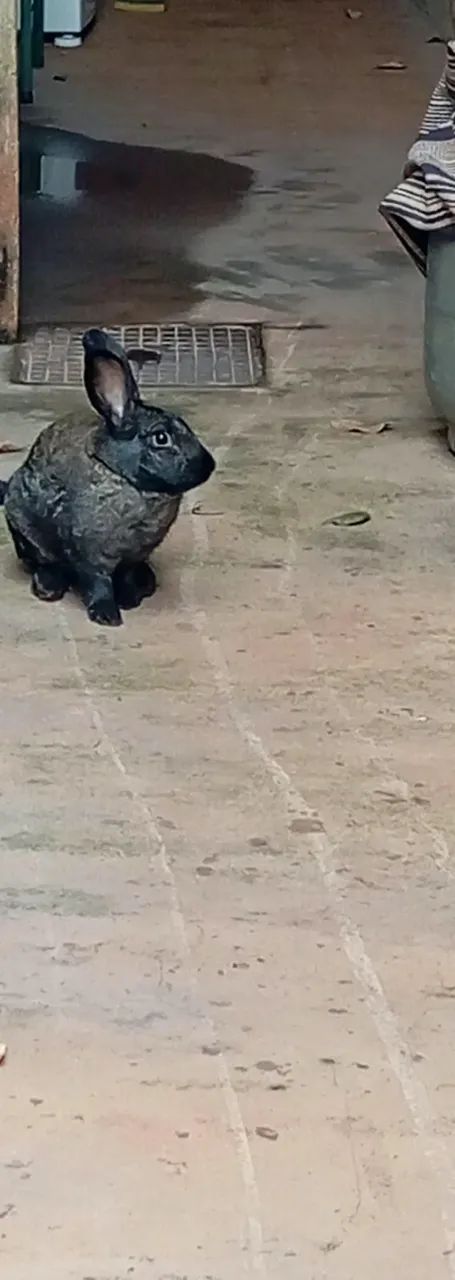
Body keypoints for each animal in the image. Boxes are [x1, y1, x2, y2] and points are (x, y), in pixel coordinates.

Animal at [0, 328, 215, 627]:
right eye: (161, 438)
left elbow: (125, 575)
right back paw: (48, 586)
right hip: (24, 526)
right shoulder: (89, 553)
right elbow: (97, 581)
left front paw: (129, 598)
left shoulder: (134, 555)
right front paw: (107, 615)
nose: (209, 465)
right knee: (41, 561)